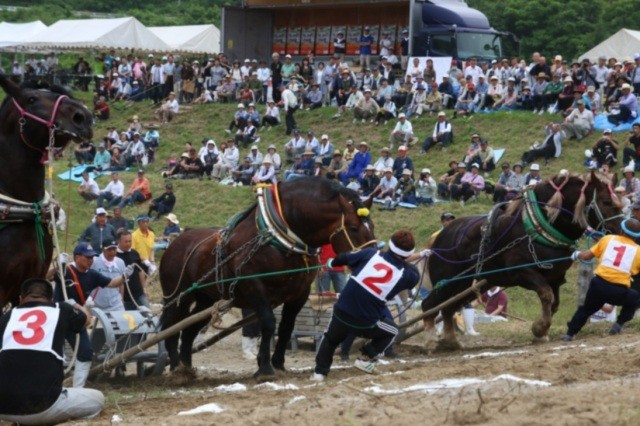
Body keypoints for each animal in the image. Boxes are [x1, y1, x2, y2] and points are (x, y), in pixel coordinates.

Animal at [160, 176, 378, 380]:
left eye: (372, 226)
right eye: (354, 228)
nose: (373, 257)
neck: (278, 239)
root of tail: (175, 242)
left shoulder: (299, 294)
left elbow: (286, 327)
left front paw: (278, 363)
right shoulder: (255, 287)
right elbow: (268, 323)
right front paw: (264, 367)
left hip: (206, 299)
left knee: (188, 330)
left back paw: (186, 368)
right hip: (178, 296)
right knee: (171, 328)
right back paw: (175, 368)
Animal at [422, 171, 624, 352]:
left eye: (621, 203)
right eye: (606, 202)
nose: (621, 230)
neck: (539, 226)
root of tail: (440, 237)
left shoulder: (555, 277)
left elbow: (554, 304)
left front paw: (541, 332)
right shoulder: (521, 272)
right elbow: (546, 295)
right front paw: (539, 329)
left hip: (464, 286)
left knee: (448, 309)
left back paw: (451, 342)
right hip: (447, 282)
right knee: (429, 306)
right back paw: (431, 340)